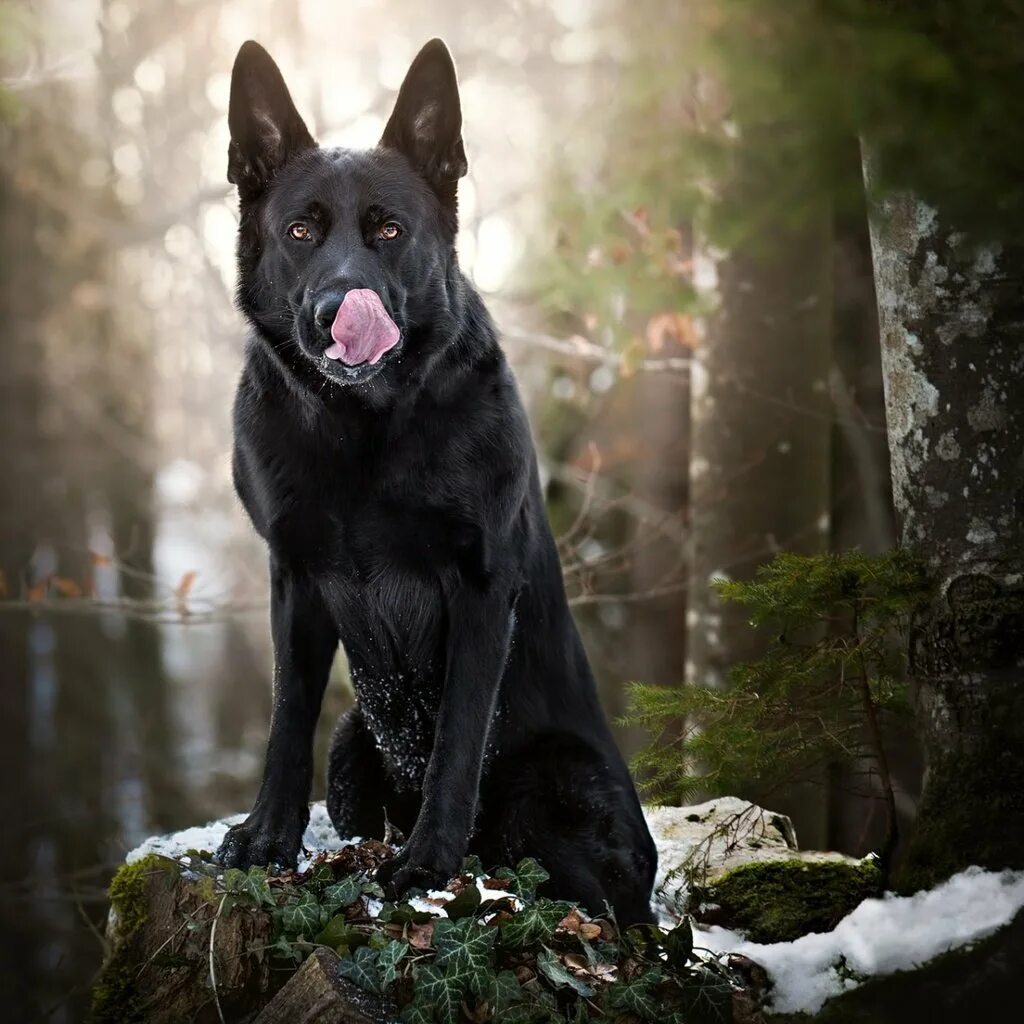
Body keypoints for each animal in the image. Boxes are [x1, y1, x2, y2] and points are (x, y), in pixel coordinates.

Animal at [218, 37, 655, 921]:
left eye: (388, 230)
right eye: (300, 230)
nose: (336, 311)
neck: (363, 427)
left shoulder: (481, 584)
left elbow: (457, 735)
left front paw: (427, 863)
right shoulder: (294, 576)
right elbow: (286, 718)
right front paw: (267, 839)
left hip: (556, 786)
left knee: (586, 889)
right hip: (352, 745)